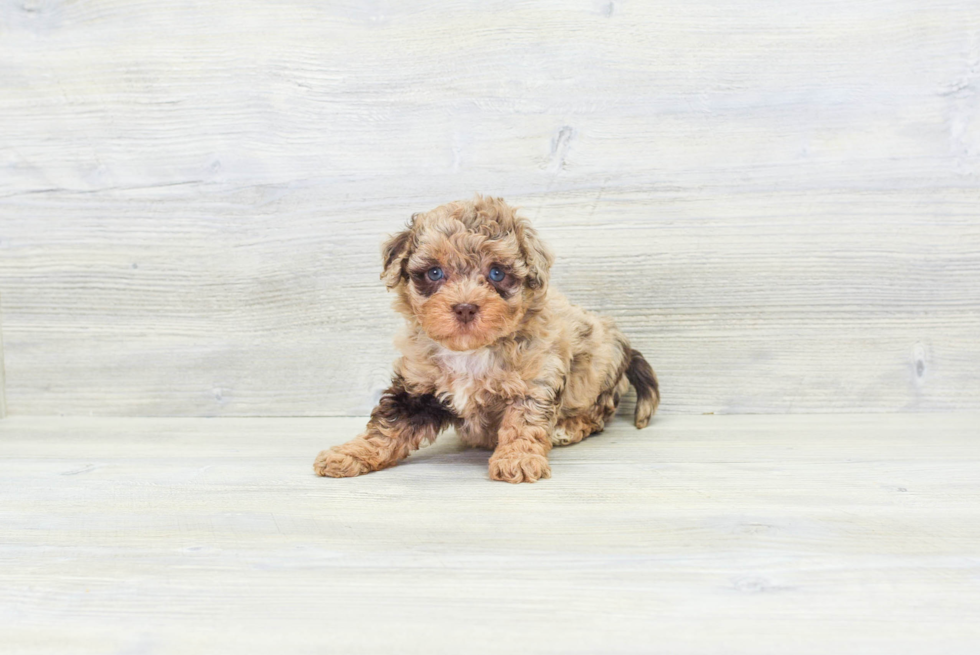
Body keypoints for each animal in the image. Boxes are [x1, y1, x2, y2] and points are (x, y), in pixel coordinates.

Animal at [314, 195, 664, 482]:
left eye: (497, 273)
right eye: (434, 273)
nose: (465, 307)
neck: (471, 351)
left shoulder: (536, 380)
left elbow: (523, 423)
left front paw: (518, 459)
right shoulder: (416, 387)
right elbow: (386, 427)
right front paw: (347, 454)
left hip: (596, 375)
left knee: (597, 414)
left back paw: (567, 429)